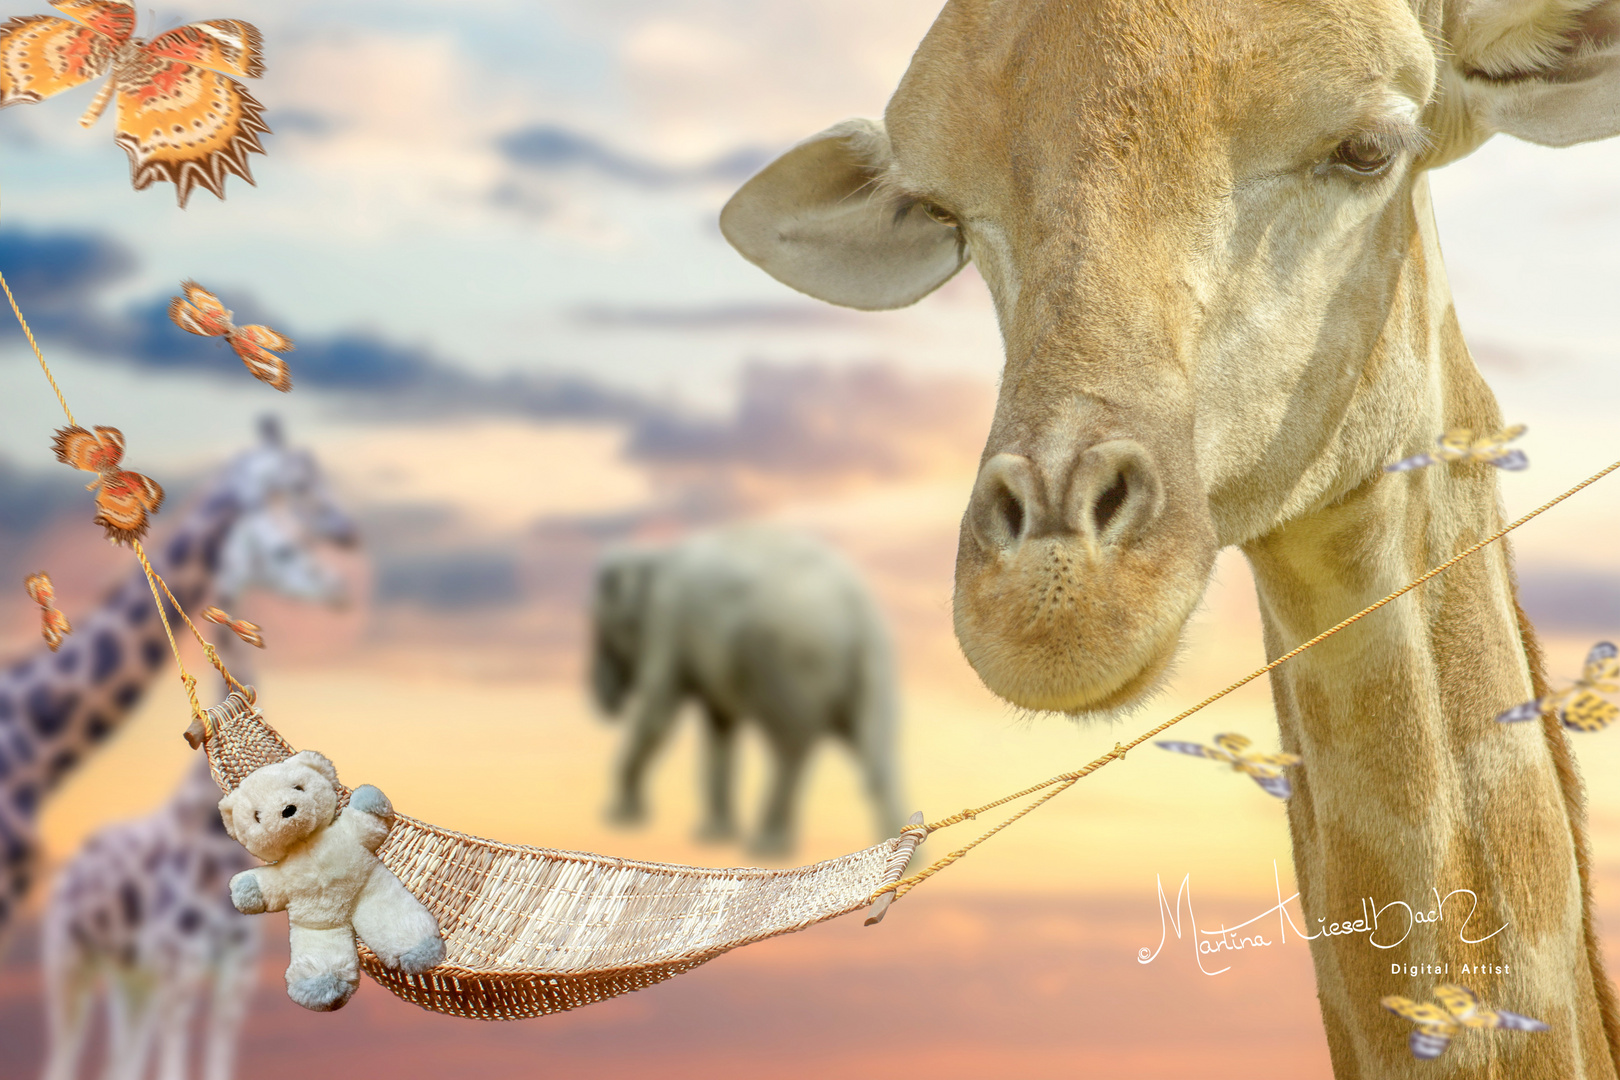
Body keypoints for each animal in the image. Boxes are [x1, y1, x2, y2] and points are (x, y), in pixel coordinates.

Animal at [592, 527, 907, 854]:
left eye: (603, 630)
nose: (609, 706)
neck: (654, 557)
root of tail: (859, 608)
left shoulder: (666, 620)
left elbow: (658, 713)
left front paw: (618, 817)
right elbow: (720, 724)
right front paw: (713, 837)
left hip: (790, 659)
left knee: (790, 747)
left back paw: (766, 847)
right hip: (857, 672)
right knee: (871, 747)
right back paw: (902, 849)